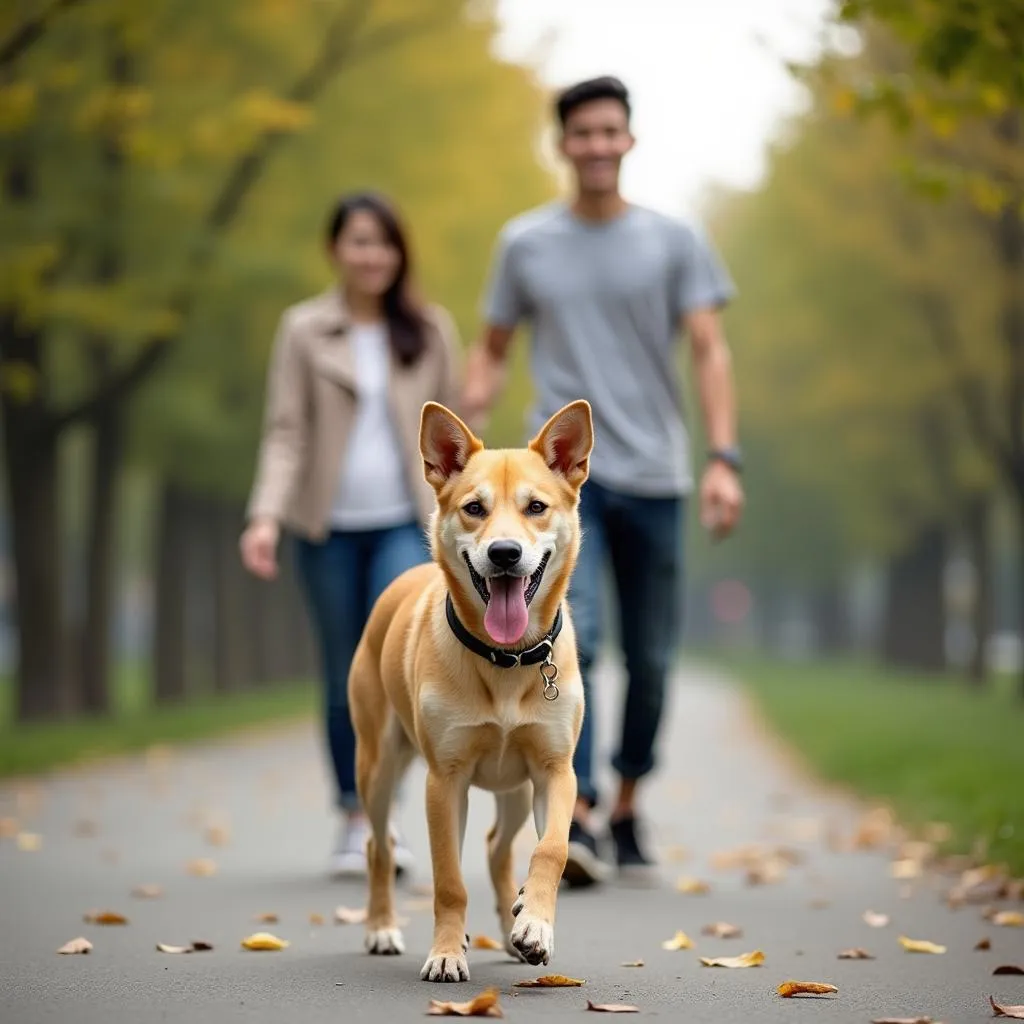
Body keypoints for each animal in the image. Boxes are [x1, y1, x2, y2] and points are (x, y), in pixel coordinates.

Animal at [348, 395, 598, 978]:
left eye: (536, 506)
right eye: (474, 508)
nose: (505, 553)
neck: (507, 660)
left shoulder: (556, 770)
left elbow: (550, 849)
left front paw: (535, 925)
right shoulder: (444, 780)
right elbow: (449, 881)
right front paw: (445, 952)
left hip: (515, 788)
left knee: (498, 846)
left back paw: (513, 929)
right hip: (378, 764)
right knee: (378, 846)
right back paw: (382, 928)